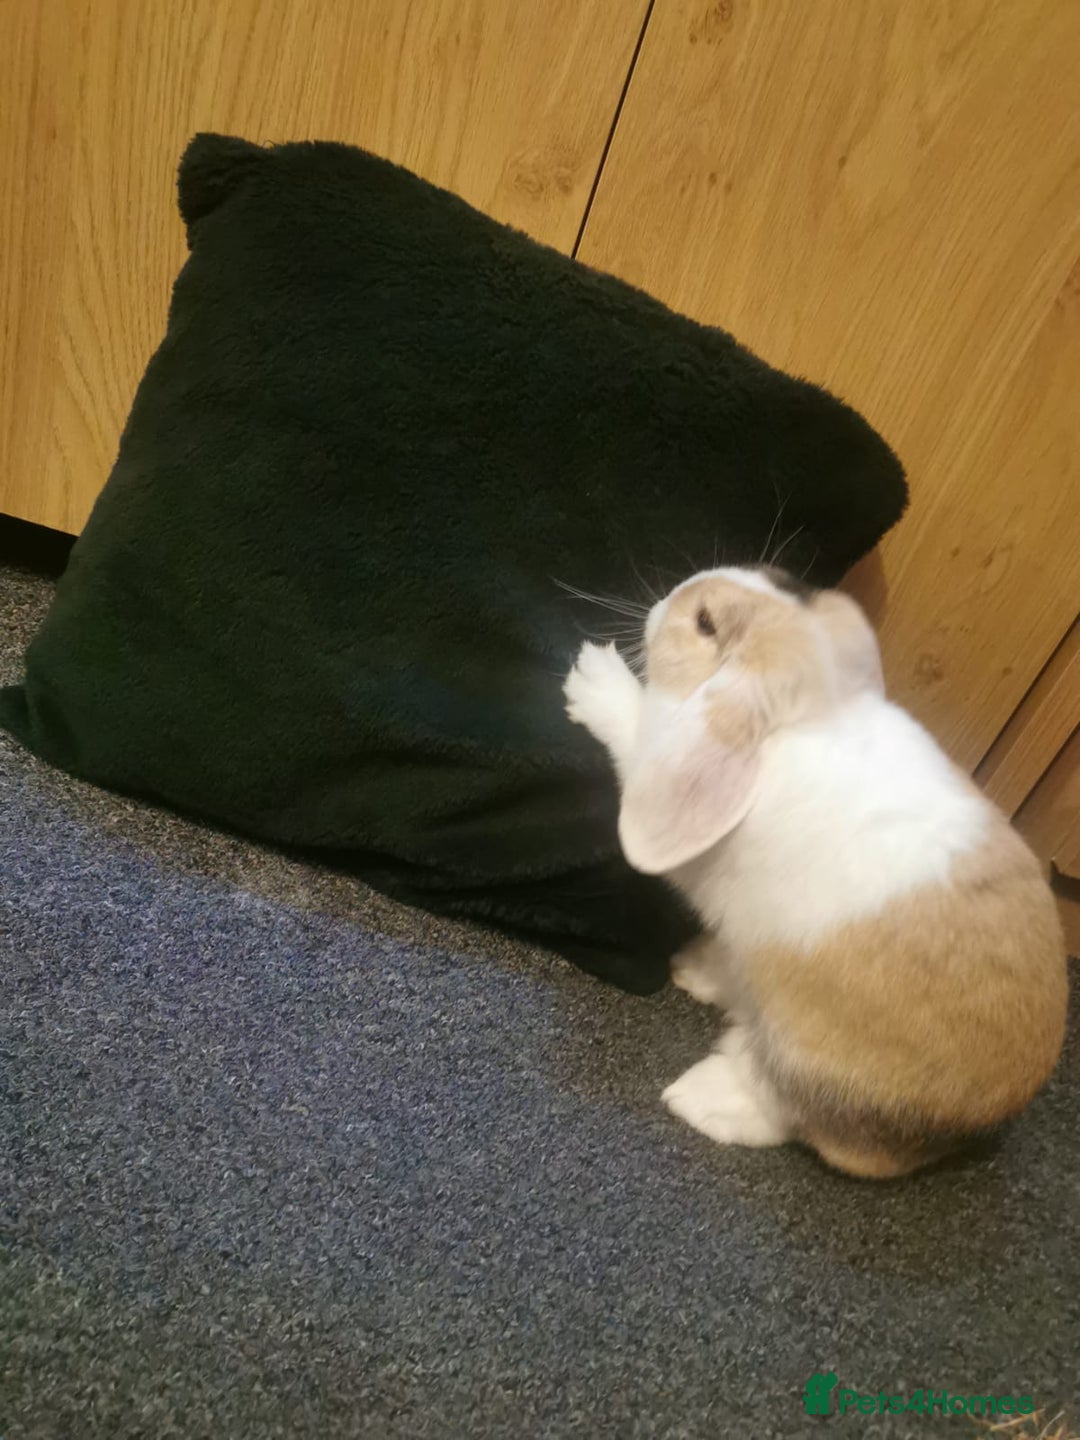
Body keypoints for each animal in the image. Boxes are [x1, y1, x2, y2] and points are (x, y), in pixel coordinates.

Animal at [563, 564, 1068, 1178]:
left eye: (705, 623)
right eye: (779, 579)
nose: (667, 598)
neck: (802, 720)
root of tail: (968, 1127)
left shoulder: (656, 761)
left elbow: (634, 735)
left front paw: (594, 675)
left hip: (806, 1060)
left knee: (787, 1116)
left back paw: (701, 1097)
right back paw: (695, 969)